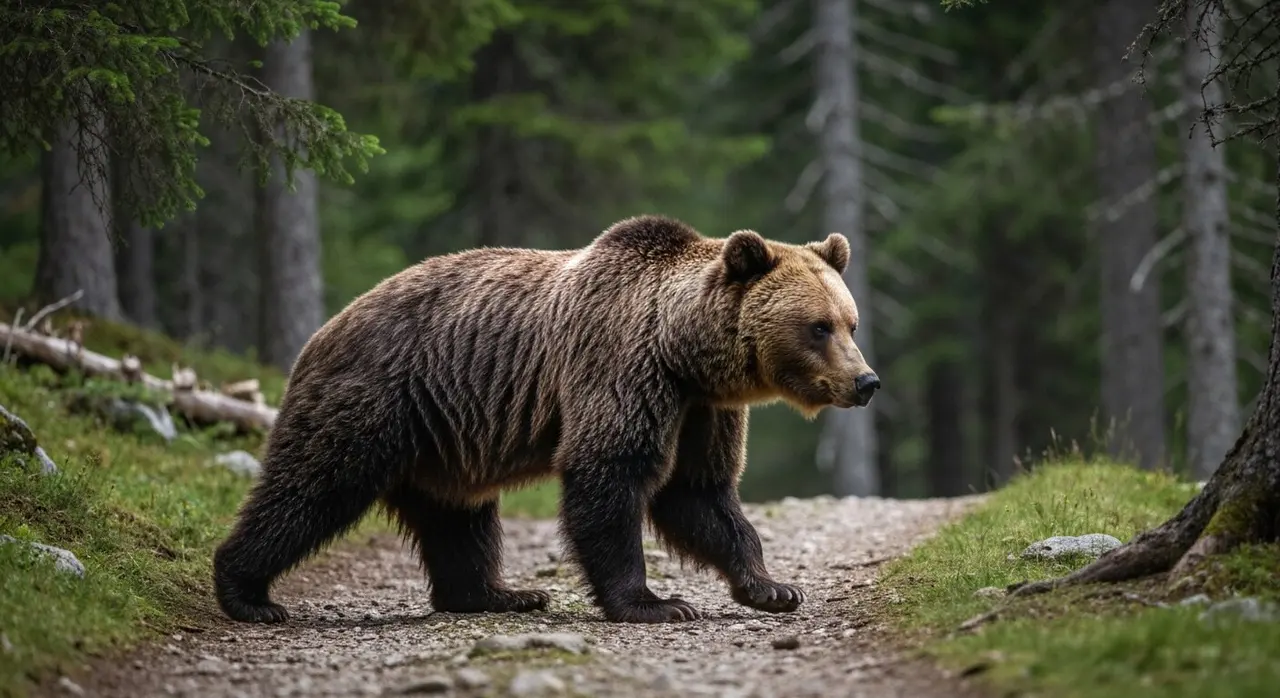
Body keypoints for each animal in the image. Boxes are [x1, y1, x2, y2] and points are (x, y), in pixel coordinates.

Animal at [212, 214, 880, 625]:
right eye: (818, 326)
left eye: (850, 322)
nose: (866, 381)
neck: (683, 351)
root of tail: (324, 330)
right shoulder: (622, 369)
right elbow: (609, 475)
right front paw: (655, 602)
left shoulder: (701, 411)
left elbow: (699, 495)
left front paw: (773, 586)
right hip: (374, 399)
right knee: (313, 487)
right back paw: (247, 593)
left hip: (443, 438)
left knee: (458, 518)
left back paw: (498, 594)